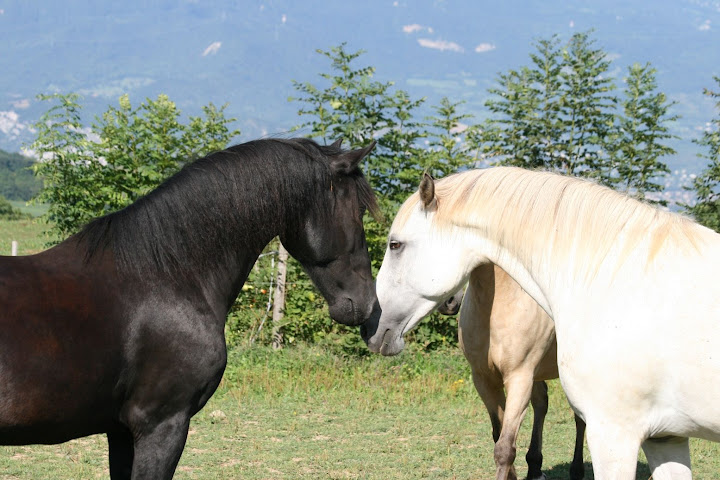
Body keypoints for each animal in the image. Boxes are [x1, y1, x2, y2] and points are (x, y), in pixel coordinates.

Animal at [462, 264, 584, 478]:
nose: (449, 304)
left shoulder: (520, 378)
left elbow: (504, 447)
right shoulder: (484, 380)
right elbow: (499, 433)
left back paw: (577, 470)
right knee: (543, 403)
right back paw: (535, 468)